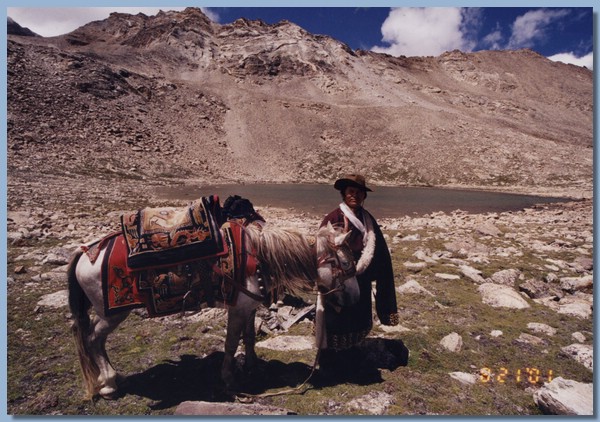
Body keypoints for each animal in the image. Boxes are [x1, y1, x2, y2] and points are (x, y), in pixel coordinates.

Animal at [68, 221, 358, 398]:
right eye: (344, 262)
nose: (355, 297)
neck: (258, 255)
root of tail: (85, 253)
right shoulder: (237, 309)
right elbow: (231, 343)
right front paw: (229, 379)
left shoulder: (249, 307)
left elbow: (249, 338)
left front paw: (253, 366)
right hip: (113, 313)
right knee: (93, 339)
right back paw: (109, 384)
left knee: (96, 341)